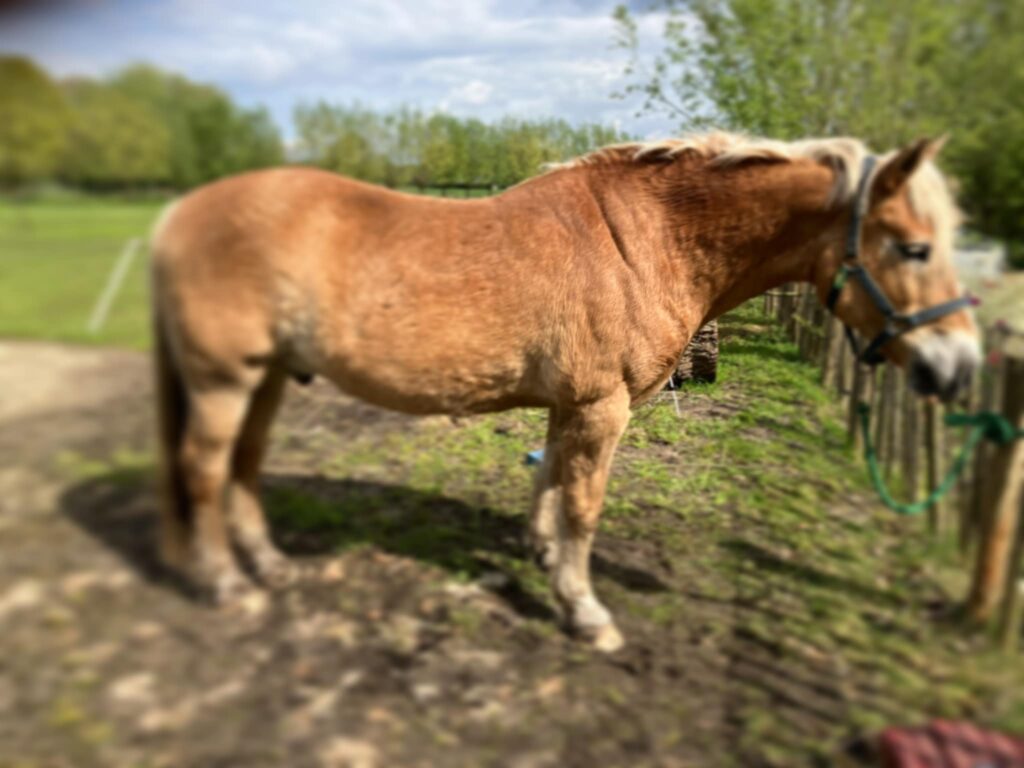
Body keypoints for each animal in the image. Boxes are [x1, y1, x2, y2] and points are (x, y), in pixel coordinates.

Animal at [150, 131, 979, 652]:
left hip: (264, 379)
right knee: (203, 468)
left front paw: (543, 557)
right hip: (225, 381)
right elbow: (584, 505)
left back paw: (268, 564)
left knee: (244, 465)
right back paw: (224, 582)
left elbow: (550, 480)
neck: (645, 239)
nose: (961, 367)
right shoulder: (599, 407)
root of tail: (182, 213)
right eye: (915, 248)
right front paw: (585, 611)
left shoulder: (569, 407)